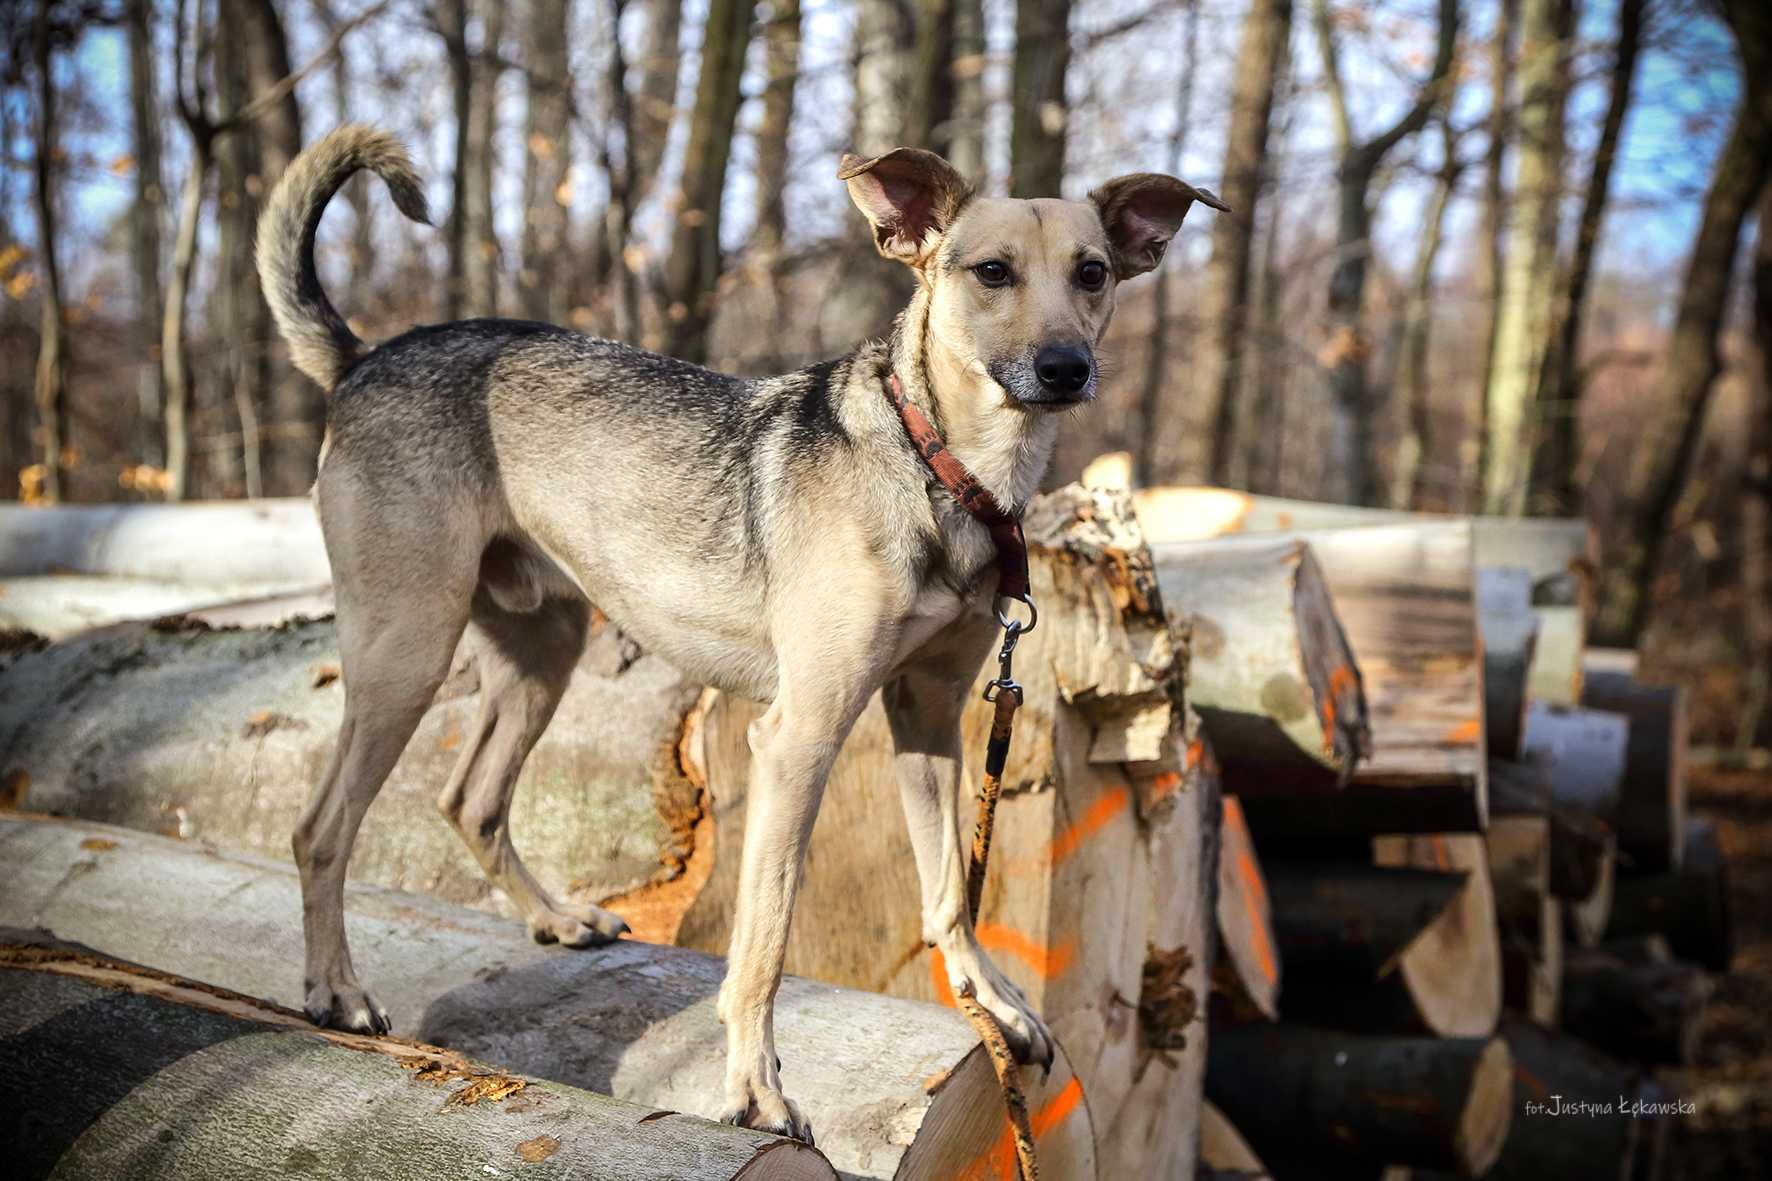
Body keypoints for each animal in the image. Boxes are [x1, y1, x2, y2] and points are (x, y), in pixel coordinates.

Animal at [256, 121, 1226, 1141]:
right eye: (991, 272)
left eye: (1093, 272)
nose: (1065, 368)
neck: (943, 466)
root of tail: (363, 356)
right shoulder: (798, 739)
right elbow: (764, 936)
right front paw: (756, 1086)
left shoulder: (929, 716)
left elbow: (951, 888)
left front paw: (990, 1001)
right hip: (406, 650)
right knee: (319, 829)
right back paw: (337, 991)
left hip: (540, 651)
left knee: (469, 798)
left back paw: (558, 916)